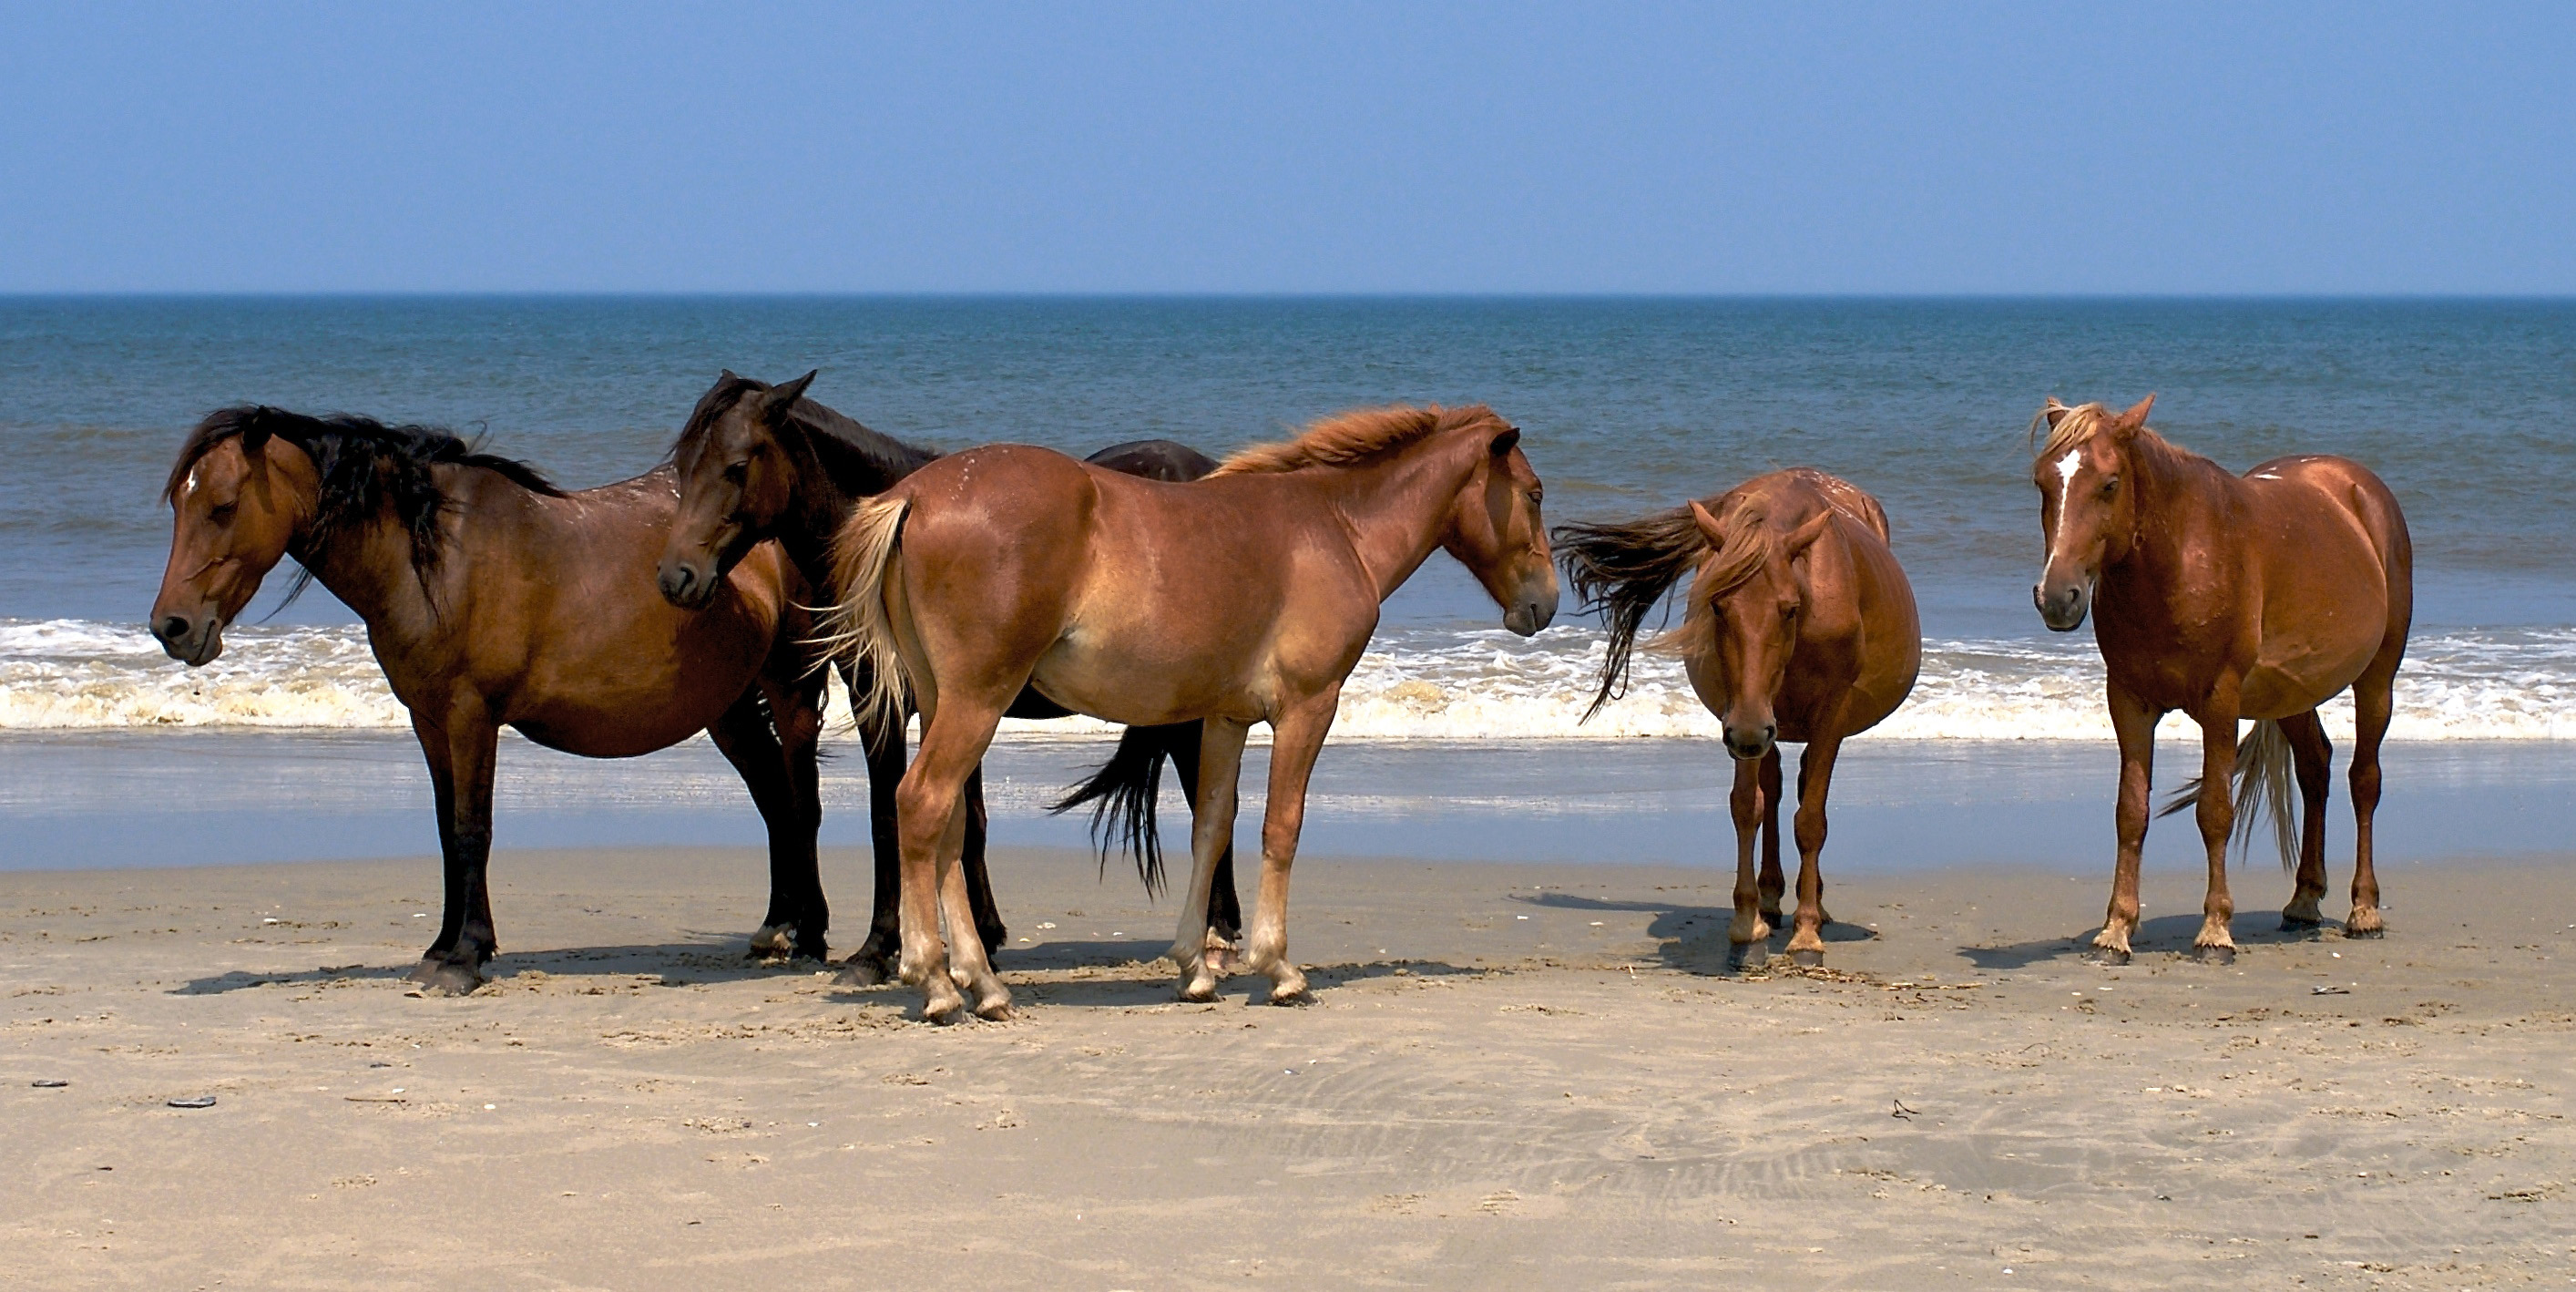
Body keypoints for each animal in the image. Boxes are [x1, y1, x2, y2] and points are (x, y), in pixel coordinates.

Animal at [148, 407, 854, 990]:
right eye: (180, 506)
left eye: (223, 506)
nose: (172, 628)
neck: (434, 561)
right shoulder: (429, 720)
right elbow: (444, 830)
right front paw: (442, 947)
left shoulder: (471, 716)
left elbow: (471, 830)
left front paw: (465, 958)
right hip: (727, 707)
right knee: (773, 801)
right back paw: (775, 927)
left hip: (788, 690)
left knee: (801, 804)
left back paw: (810, 935)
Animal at [649, 374, 1242, 974]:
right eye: (682, 468)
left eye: (736, 466)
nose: (677, 577)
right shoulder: (935, 705)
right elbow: (963, 821)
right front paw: (982, 936)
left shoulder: (888, 706)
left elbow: (889, 818)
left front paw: (880, 945)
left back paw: (1219, 931)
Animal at [823, 402, 1556, 1016]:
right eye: (1535, 493)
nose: (1544, 604)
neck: (1334, 526)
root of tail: (916, 494)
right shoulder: (1307, 709)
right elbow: (1280, 827)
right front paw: (1278, 967)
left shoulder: (1225, 718)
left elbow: (1212, 827)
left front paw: (1194, 969)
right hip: (977, 701)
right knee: (921, 803)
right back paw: (936, 980)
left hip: (941, 701)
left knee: (945, 824)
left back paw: (982, 981)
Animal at [1545, 469, 1917, 964]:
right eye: (1718, 606)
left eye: (1790, 608)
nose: (1748, 732)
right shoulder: (1740, 713)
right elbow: (1746, 807)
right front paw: (1747, 926)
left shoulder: (1827, 716)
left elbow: (1810, 821)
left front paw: (1807, 934)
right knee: (1774, 789)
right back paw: (1772, 899)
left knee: (1801, 791)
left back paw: (1812, 904)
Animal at [2029, 396, 2411, 964]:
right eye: (2042, 483)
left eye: (2110, 483)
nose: (2058, 598)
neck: (2180, 560)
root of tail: (2361, 488)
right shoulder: (2128, 701)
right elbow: (2130, 812)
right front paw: (2116, 929)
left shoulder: (2220, 704)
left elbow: (2214, 811)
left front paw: (2215, 930)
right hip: (2292, 693)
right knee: (2315, 769)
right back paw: (2303, 900)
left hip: (2377, 680)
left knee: (2364, 781)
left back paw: (2363, 910)